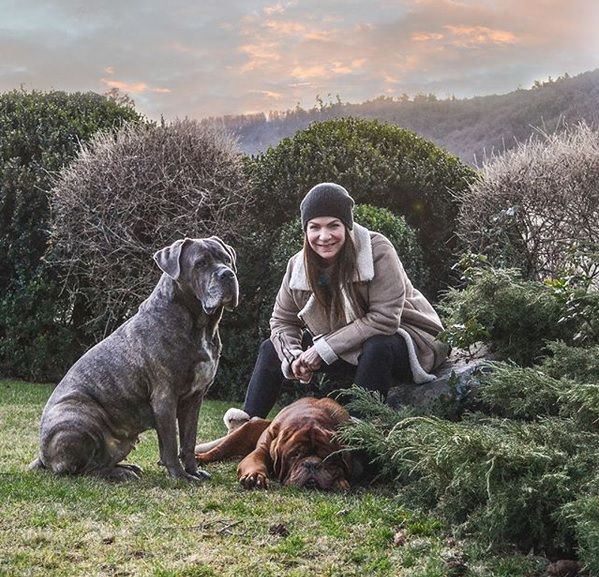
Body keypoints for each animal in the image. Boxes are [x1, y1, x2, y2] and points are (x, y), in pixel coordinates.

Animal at [197, 396, 354, 490]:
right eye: (295, 455)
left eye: (327, 457)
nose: (312, 464)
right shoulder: (262, 449)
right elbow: (255, 461)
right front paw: (255, 475)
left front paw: (339, 481)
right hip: (243, 432)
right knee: (217, 451)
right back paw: (199, 458)